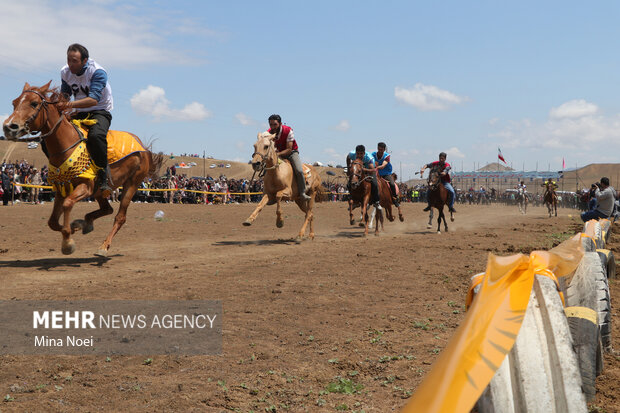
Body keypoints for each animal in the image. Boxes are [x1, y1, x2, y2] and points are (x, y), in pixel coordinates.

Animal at [1, 82, 165, 256]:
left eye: (34, 103)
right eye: (14, 103)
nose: (9, 127)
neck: (66, 144)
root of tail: (143, 147)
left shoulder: (85, 187)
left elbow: (67, 205)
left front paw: (68, 241)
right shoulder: (61, 188)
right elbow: (52, 222)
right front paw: (73, 228)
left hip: (131, 184)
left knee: (120, 217)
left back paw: (104, 246)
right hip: (100, 191)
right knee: (107, 209)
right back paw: (86, 223)